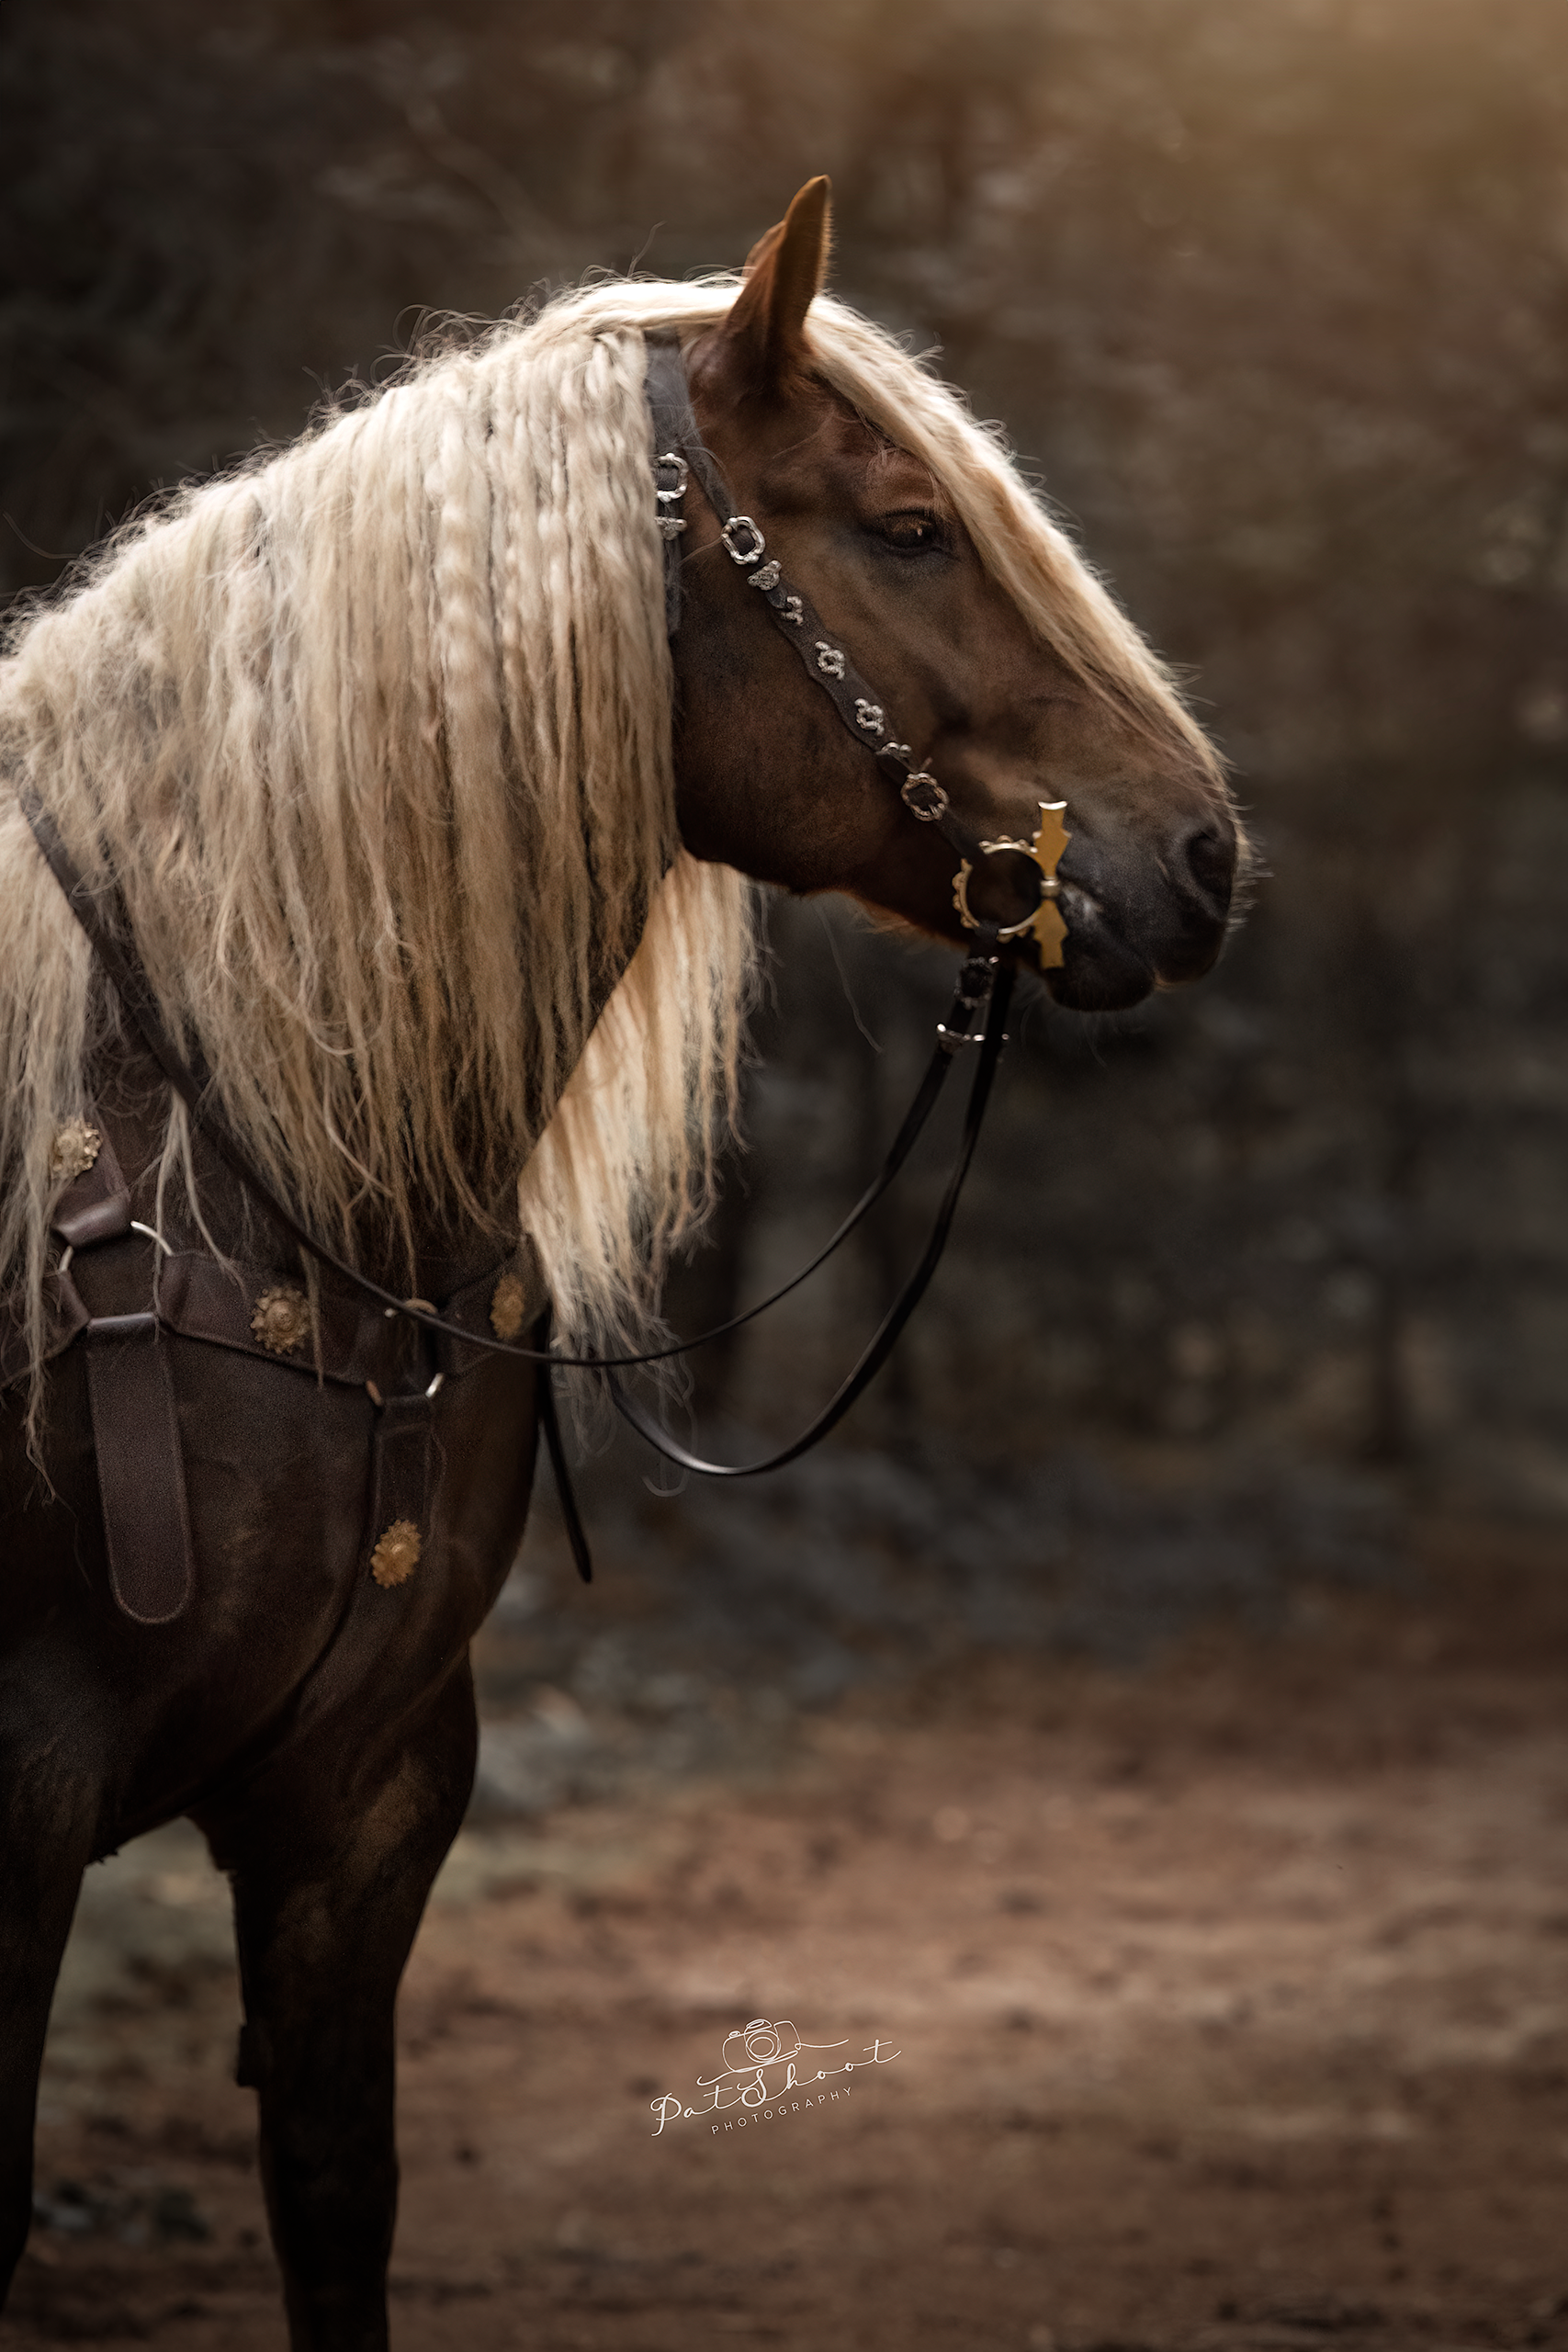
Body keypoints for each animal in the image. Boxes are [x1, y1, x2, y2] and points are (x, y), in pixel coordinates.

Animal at [0, 179, 1240, 2348]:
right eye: (906, 527)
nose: (1201, 859)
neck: (208, 1146)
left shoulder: (368, 1807)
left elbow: (338, 2198)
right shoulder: (14, 1807)